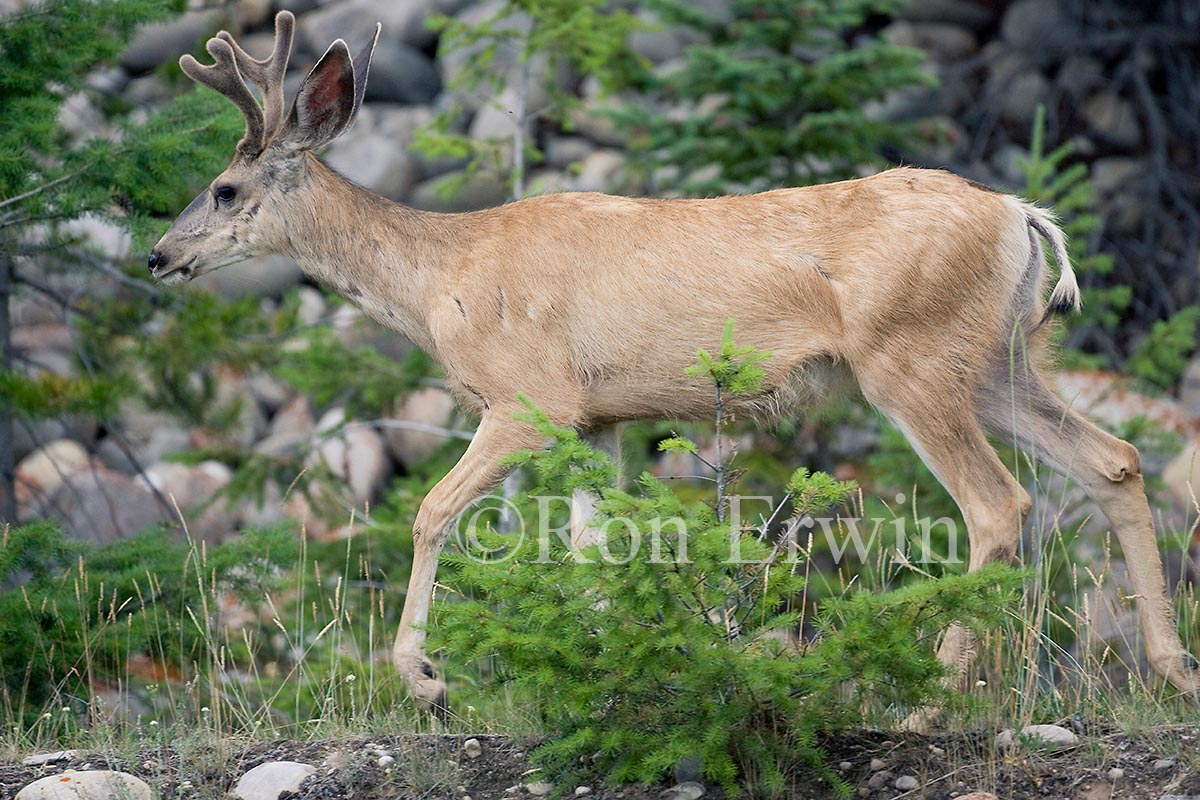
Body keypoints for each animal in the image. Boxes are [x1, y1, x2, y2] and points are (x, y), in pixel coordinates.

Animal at [151, 11, 1199, 719]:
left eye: (224, 187)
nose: (158, 256)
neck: (444, 279)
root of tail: (1023, 214)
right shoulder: (601, 417)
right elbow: (590, 552)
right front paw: (604, 680)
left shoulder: (529, 396)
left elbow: (431, 511)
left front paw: (426, 678)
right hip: (997, 358)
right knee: (1112, 460)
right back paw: (1169, 667)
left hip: (911, 355)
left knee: (998, 504)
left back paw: (931, 697)